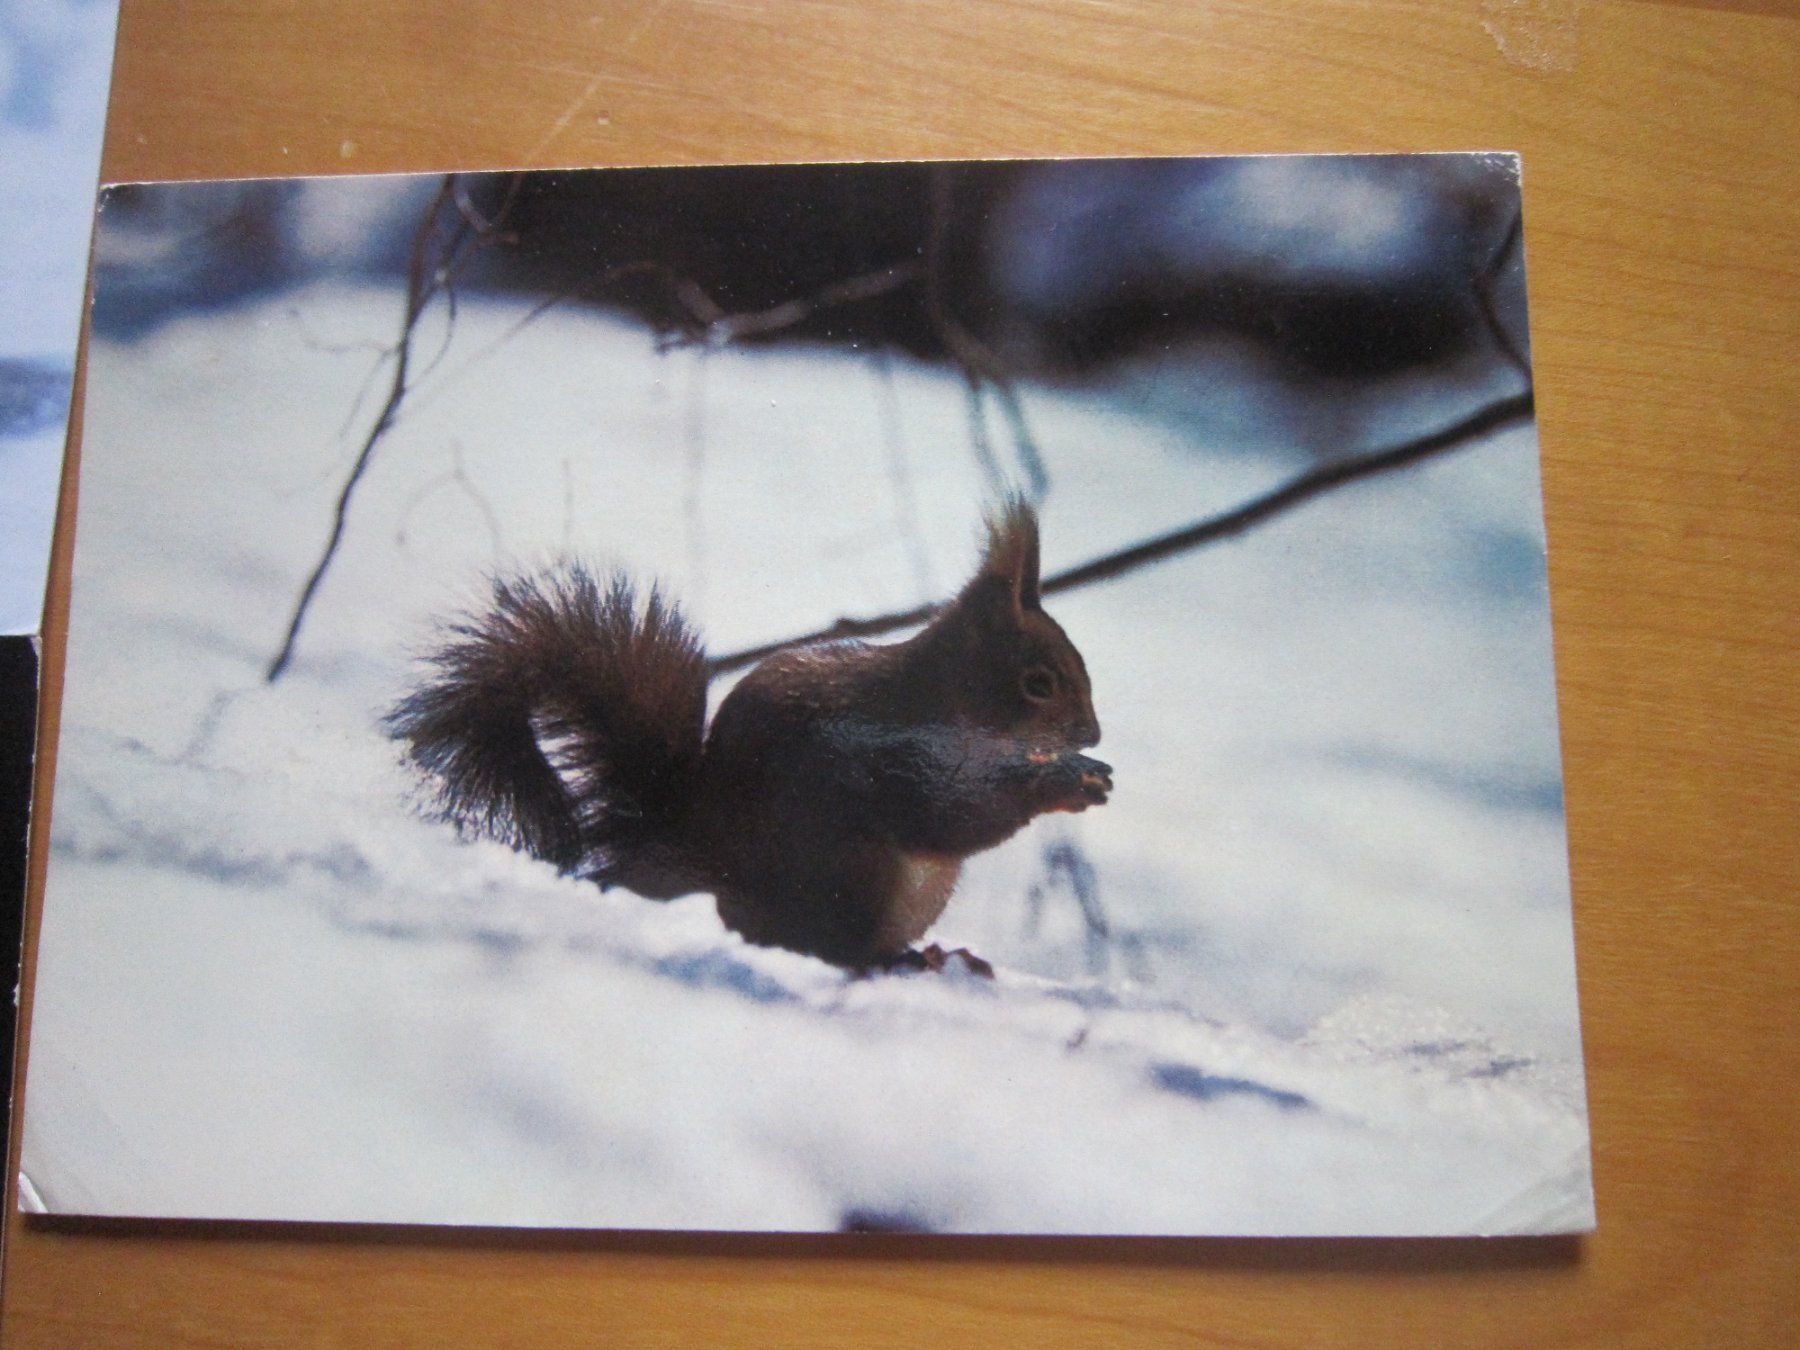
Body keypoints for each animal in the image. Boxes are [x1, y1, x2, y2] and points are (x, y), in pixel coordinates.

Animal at [386, 499, 1111, 975]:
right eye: (1038, 683)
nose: (1092, 732)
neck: (953, 706)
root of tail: (696, 860)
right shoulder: (894, 754)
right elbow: (950, 814)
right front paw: (1060, 783)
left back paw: (930, 952)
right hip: (851, 871)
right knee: (823, 943)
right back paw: (888, 961)